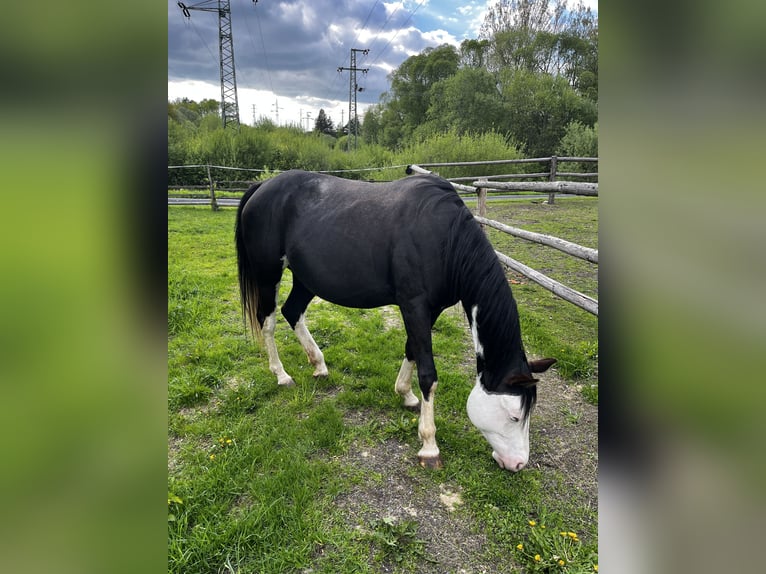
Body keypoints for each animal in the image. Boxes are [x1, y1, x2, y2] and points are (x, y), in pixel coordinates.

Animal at [235, 170, 555, 471]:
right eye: (514, 415)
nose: (518, 464)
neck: (443, 237)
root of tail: (262, 187)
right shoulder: (414, 305)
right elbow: (428, 375)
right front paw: (429, 446)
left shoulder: (430, 309)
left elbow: (412, 349)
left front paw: (405, 395)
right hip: (267, 276)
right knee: (268, 322)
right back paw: (282, 375)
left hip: (306, 279)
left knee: (292, 312)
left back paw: (319, 365)